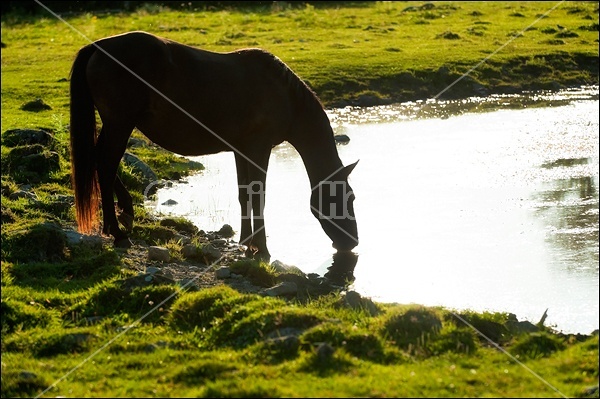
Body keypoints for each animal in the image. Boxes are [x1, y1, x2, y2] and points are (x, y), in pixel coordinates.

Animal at [70, 32, 360, 262]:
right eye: (349, 197)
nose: (352, 242)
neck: (283, 94)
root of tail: (98, 46)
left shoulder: (242, 150)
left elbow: (245, 194)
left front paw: (246, 243)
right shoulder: (259, 149)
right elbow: (259, 195)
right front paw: (262, 248)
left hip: (114, 125)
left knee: (98, 160)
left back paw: (122, 215)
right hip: (120, 124)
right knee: (106, 165)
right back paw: (118, 232)